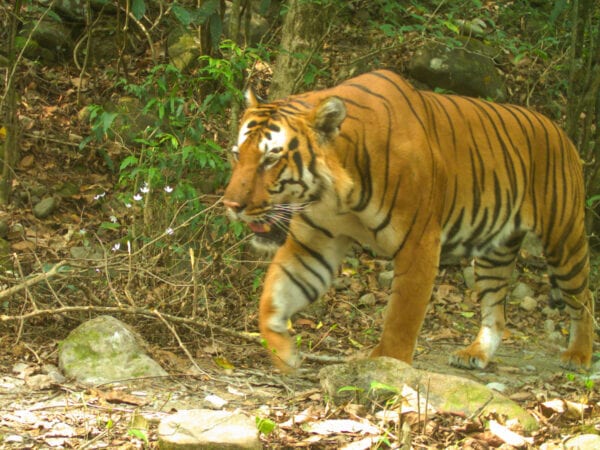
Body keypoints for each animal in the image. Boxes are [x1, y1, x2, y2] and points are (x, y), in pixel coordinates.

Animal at [221, 69, 596, 372]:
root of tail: (561, 131)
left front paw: (387, 371)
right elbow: (272, 298)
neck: (336, 194)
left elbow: (402, 317)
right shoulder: (313, 245)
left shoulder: (419, 244)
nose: (231, 204)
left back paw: (579, 356)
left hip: (564, 239)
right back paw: (476, 354)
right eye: (238, 155)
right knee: (496, 310)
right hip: (495, 251)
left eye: (271, 159)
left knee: (584, 298)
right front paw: (284, 353)